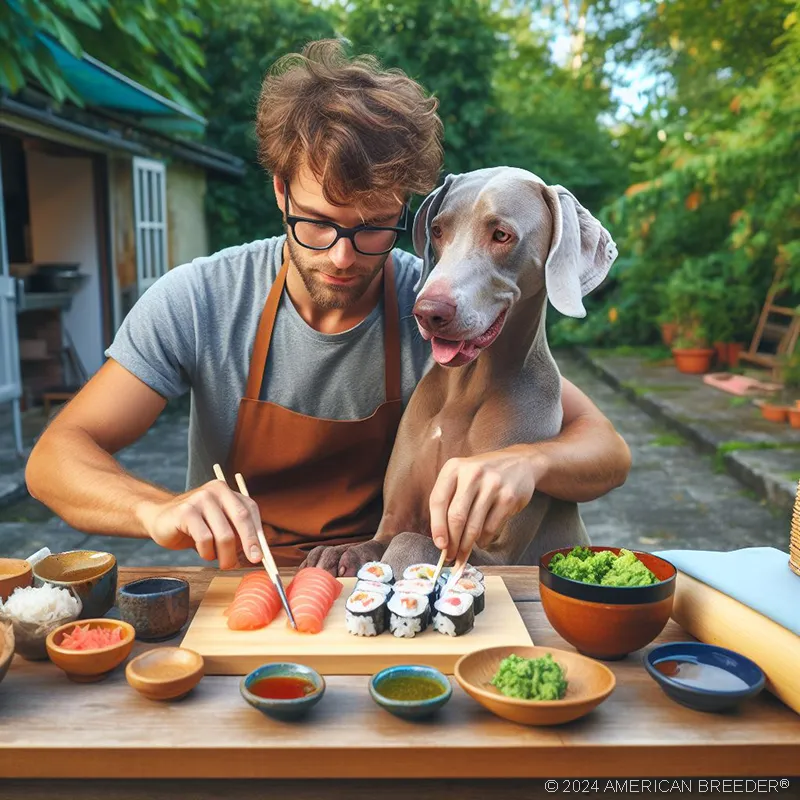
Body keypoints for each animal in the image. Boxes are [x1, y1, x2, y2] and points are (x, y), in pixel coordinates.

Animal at [304, 169, 620, 580]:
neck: (465, 390)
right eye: (438, 230)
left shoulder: (498, 554)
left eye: (501, 235)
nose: (428, 311)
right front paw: (337, 553)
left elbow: (414, 540)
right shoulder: (393, 518)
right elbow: (378, 540)